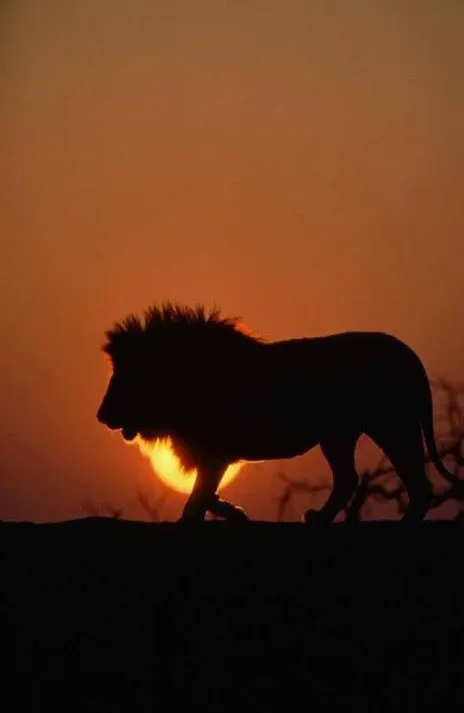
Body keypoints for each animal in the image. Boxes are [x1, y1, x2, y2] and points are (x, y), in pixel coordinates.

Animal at [97, 302, 452, 523]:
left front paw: (198, 518)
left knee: (417, 484)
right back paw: (319, 518)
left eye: (124, 375)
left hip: (390, 426)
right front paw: (231, 513)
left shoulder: (215, 452)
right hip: (339, 435)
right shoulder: (211, 453)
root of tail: (410, 356)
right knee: (350, 479)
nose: (102, 415)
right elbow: (205, 492)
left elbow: (201, 493)